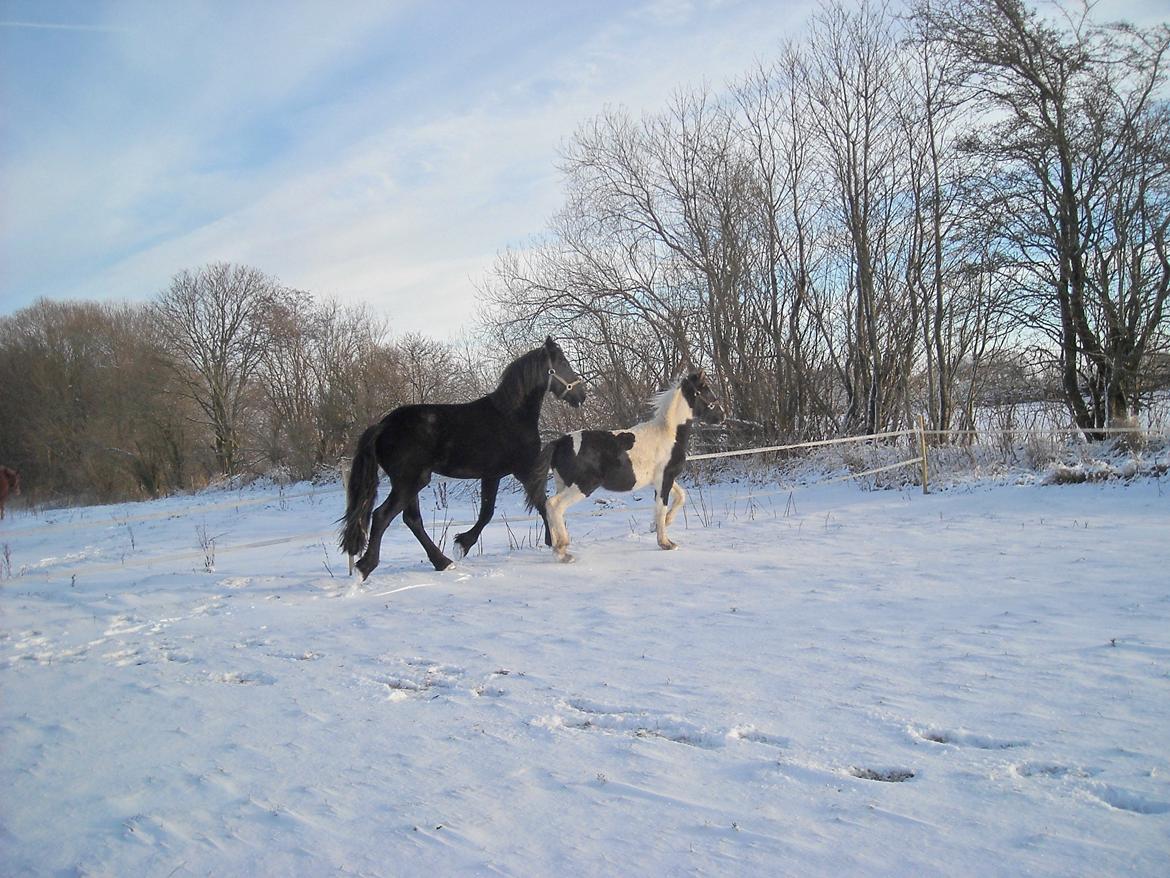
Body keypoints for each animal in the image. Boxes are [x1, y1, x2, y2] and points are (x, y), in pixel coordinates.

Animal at [341, 337, 589, 578]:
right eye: (563, 363)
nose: (581, 395)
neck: (511, 416)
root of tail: (383, 426)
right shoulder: (524, 470)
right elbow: (540, 503)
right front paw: (555, 544)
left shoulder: (492, 475)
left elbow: (487, 512)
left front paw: (462, 544)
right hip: (410, 482)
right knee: (382, 516)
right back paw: (365, 568)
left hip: (410, 483)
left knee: (411, 520)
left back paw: (443, 562)